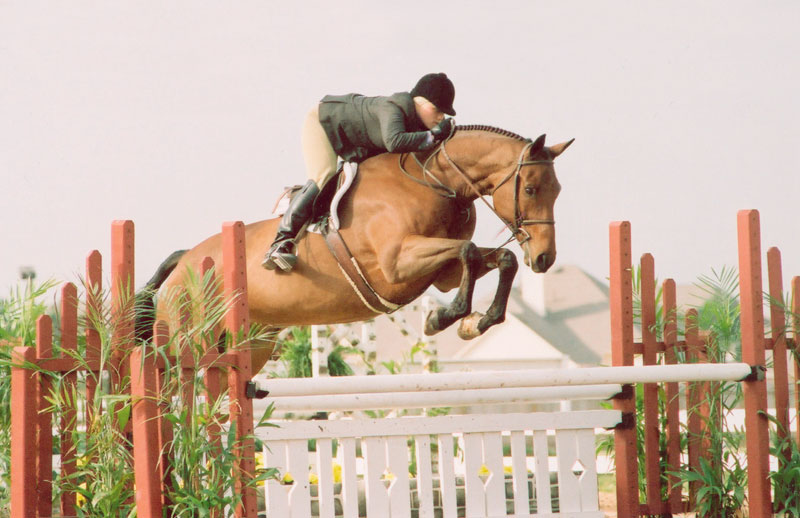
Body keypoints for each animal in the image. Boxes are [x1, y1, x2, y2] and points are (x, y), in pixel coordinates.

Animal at [148, 127, 576, 376]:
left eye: (557, 191)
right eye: (531, 189)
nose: (544, 259)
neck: (434, 181)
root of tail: (183, 261)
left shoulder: (442, 274)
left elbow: (497, 258)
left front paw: (477, 322)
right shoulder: (398, 264)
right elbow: (469, 251)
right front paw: (442, 318)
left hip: (250, 346)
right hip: (183, 342)